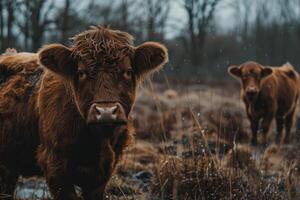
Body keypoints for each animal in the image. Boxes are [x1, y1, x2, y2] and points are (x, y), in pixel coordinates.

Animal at [0, 25, 169, 199]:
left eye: (128, 71)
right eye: (81, 73)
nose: (106, 111)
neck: (98, 141)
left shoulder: (103, 174)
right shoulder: (55, 165)